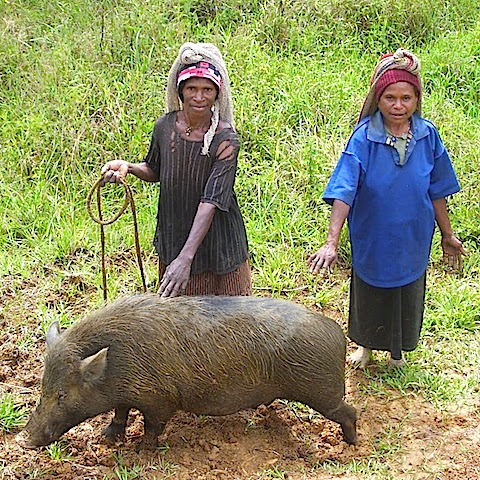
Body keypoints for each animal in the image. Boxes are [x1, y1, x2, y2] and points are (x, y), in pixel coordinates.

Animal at [15, 292, 356, 450]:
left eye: (62, 394)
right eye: (42, 387)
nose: (22, 439)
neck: (117, 367)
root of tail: (337, 334)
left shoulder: (160, 399)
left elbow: (152, 425)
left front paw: (142, 450)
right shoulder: (127, 394)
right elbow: (120, 412)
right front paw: (107, 436)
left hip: (321, 390)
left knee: (350, 411)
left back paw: (350, 444)